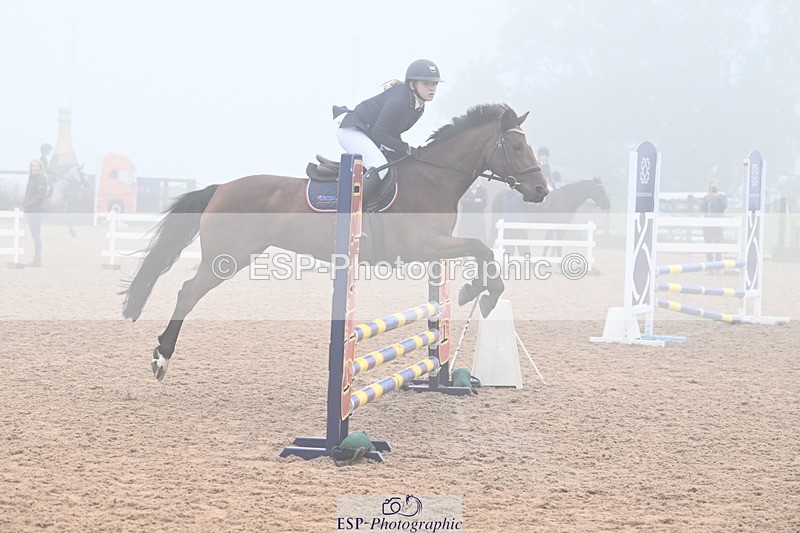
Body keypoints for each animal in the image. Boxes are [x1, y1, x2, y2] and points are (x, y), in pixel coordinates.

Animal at [121, 103, 549, 381]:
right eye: (516, 147)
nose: (541, 191)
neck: (434, 177)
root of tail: (221, 187)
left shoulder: (435, 248)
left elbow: (478, 254)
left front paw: (475, 292)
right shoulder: (424, 247)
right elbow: (482, 248)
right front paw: (480, 293)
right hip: (226, 258)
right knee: (187, 292)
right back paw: (161, 358)